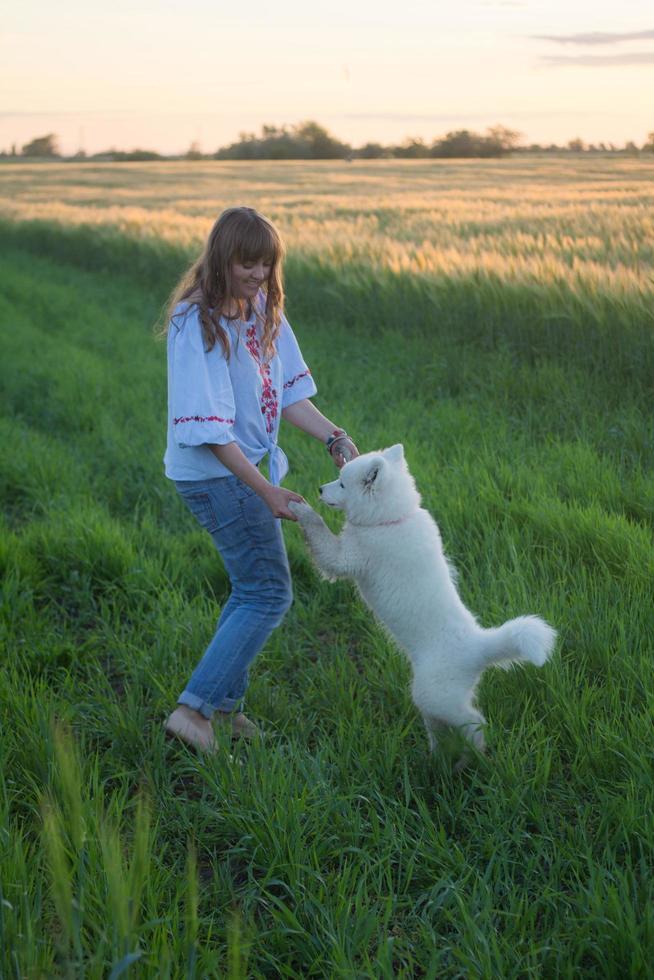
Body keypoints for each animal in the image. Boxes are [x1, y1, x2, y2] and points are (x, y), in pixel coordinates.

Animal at [292, 448, 560, 760]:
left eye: (343, 484)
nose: (320, 489)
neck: (394, 519)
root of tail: (477, 648)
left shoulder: (346, 557)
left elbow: (319, 532)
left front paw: (300, 508)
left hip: (432, 695)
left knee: (475, 723)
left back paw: (474, 756)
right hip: (437, 702)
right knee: (445, 727)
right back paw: (438, 756)